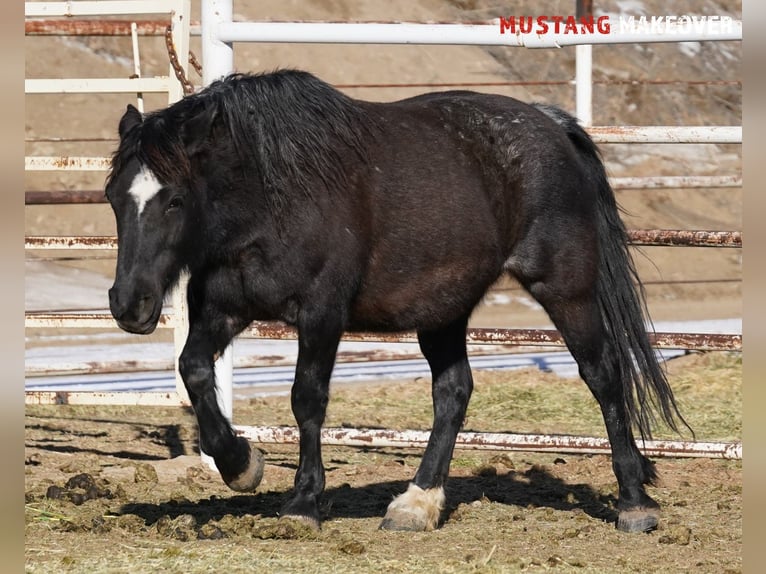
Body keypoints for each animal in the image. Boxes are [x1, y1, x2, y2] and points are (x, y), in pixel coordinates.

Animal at [103, 71, 688, 536]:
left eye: (175, 200)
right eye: (113, 197)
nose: (129, 304)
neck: (270, 197)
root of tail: (549, 123)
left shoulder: (322, 313)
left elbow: (306, 399)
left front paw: (303, 503)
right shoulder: (223, 309)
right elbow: (194, 370)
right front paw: (239, 463)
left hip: (564, 288)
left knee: (604, 374)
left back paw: (633, 503)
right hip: (444, 310)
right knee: (453, 392)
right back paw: (416, 502)